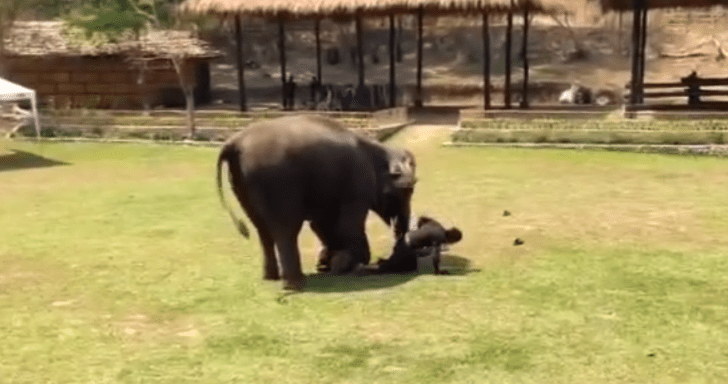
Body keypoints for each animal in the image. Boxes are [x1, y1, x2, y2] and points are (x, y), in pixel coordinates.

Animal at [215, 115, 416, 290]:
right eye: (409, 188)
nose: (399, 237)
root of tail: (234, 143)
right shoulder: (357, 187)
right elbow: (346, 225)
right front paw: (349, 264)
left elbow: (321, 225)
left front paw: (328, 263)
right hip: (278, 183)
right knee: (286, 230)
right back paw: (295, 284)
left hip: (242, 183)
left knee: (262, 230)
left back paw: (272, 278)